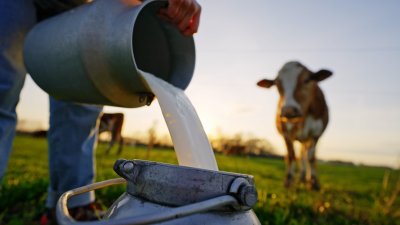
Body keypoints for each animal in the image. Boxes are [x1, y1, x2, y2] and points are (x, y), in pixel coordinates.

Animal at [258, 61, 332, 190]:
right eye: (277, 84)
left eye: (307, 79)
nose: (288, 111)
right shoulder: (286, 133)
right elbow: (291, 155)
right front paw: (288, 180)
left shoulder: (316, 133)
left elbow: (311, 157)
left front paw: (313, 182)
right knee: (299, 156)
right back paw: (301, 177)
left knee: (306, 156)